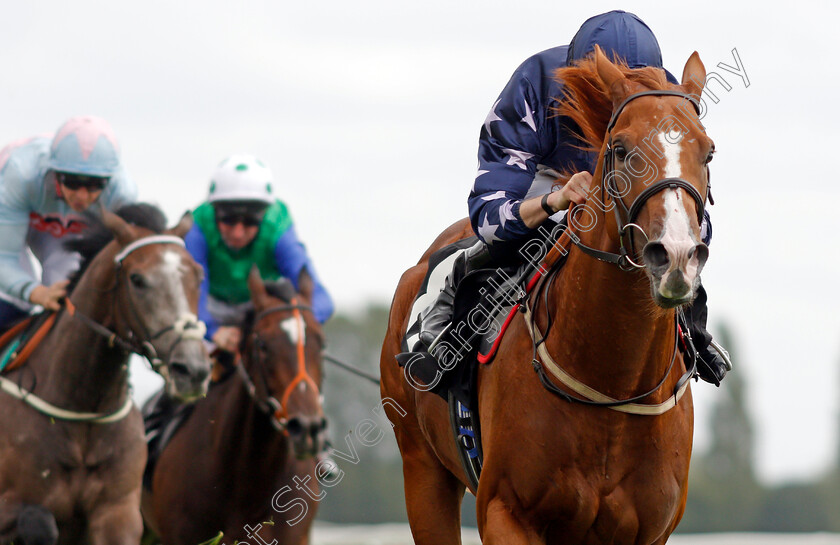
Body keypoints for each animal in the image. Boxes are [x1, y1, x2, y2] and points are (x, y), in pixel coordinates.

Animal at [0, 204, 213, 544]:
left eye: (199, 275)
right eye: (137, 279)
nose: (192, 370)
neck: (83, 407)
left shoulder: (119, 511)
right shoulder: (10, 503)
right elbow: (39, 521)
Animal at [380, 47, 716, 544]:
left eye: (708, 151)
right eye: (620, 149)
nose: (675, 255)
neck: (610, 386)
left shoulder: (651, 530)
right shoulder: (505, 512)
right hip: (421, 469)